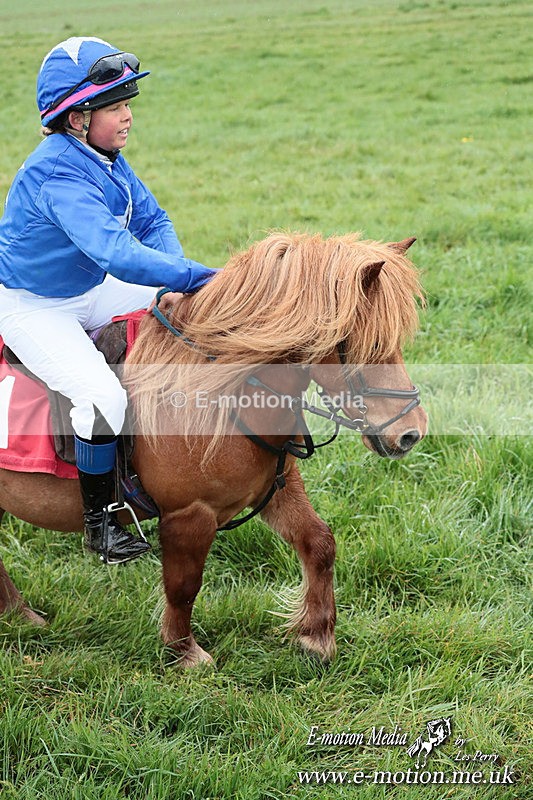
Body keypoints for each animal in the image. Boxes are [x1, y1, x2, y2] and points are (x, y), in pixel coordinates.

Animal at [0, 231, 427, 667]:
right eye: (372, 344)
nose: (411, 432)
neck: (219, 391)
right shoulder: (189, 514)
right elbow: (184, 585)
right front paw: (184, 651)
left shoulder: (278, 487)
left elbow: (319, 542)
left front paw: (316, 636)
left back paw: (19, 615)